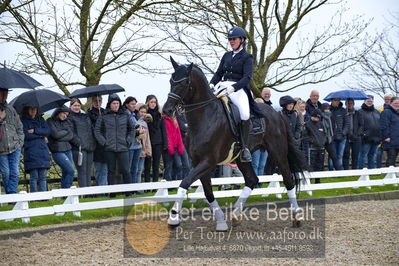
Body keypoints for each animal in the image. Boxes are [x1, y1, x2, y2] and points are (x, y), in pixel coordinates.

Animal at [162, 57, 306, 231]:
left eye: (184, 83)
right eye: (171, 80)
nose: (167, 110)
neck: (205, 118)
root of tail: (276, 113)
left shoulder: (208, 161)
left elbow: (184, 183)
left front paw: (173, 218)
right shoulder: (198, 162)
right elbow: (208, 192)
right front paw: (221, 222)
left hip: (277, 152)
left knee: (288, 179)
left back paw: (297, 217)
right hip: (242, 158)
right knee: (252, 180)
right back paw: (236, 215)